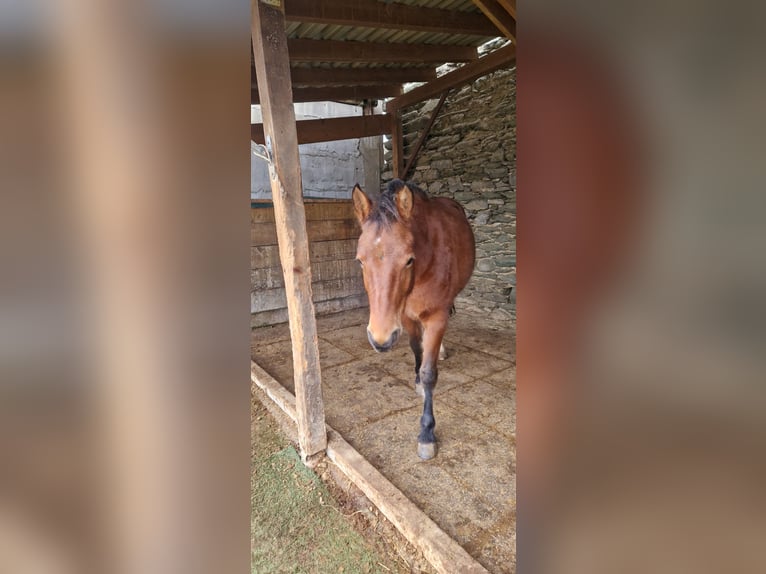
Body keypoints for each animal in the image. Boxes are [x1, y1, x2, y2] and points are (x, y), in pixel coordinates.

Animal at [352, 178, 474, 462]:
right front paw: (417, 380)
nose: (380, 339)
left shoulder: (437, 318)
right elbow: (416, 350)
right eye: (360, 261)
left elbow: (430, 373)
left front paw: (427, 434)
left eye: (408, 260)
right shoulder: (405, 317)